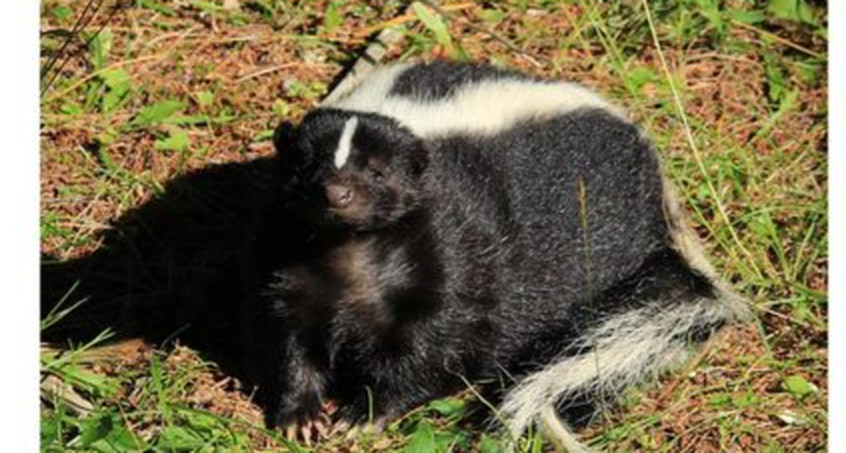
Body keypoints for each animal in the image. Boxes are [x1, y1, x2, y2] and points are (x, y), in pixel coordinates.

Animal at [240, 60, 748, 448]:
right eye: (307, 166)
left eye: (379, 173)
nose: (337, 194)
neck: (349, 251)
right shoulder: (288, 259)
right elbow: (291, 337)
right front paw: (301, 416)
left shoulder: (457, 248)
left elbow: (438, 340)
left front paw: (363, 413)